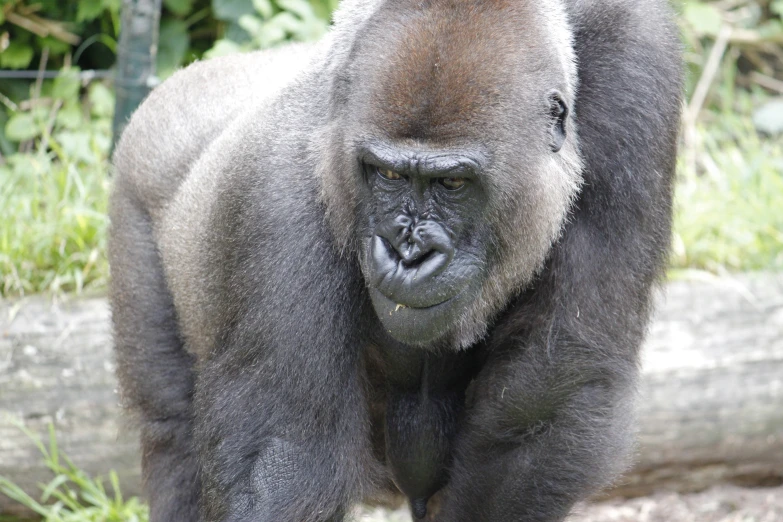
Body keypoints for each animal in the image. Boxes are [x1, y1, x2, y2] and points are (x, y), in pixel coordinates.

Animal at [107, 1, 684, 520]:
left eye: (453, 184)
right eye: (386, 175)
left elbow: (542, 402)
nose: (409, 254)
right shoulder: (277, 186)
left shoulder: (636, 61)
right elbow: (284, 459)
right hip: (134, 181)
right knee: (170, 427)